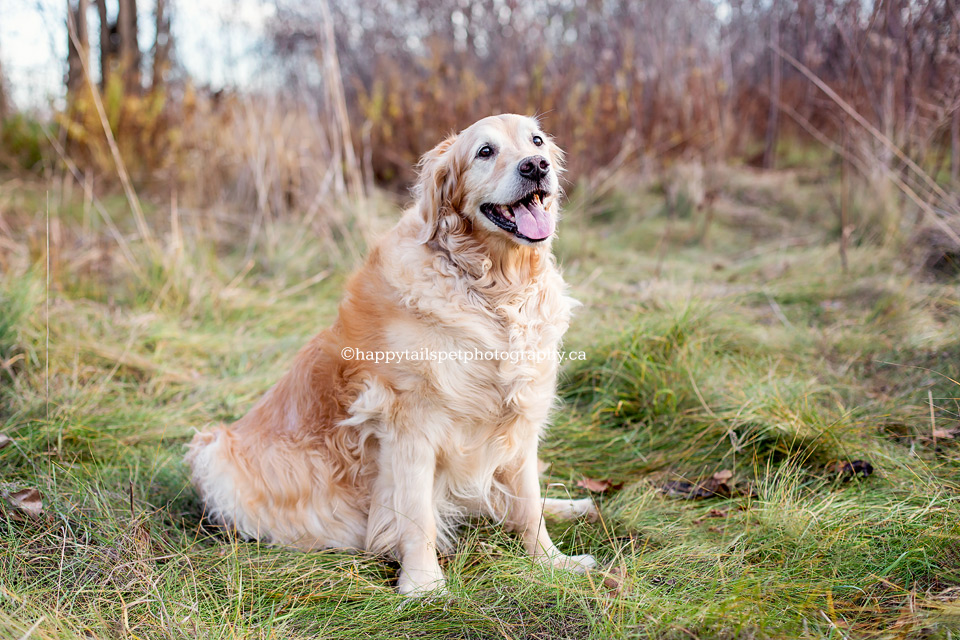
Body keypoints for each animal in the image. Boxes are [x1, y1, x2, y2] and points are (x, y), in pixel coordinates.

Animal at [185, 114, 596, 596]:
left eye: (536, 141)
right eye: (485, 151)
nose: (536, 166)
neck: (492, 290)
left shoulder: (521, 415)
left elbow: (528, 502)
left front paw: (552, 563)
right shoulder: (409, 422)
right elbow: (416, 513)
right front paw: (423, 586)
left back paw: (573, 504)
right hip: (212, 455)